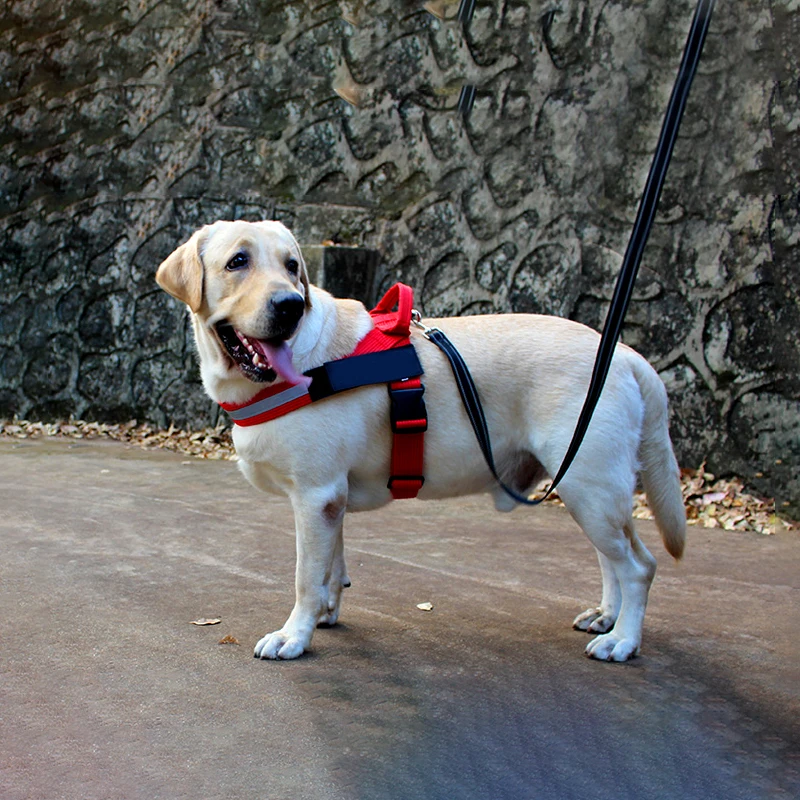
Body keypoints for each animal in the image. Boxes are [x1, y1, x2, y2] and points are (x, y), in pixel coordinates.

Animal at [158, 219, 688, 664]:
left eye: (292, 266)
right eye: (237, 261)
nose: (291, 305)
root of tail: (624, 354)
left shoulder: (316, 495)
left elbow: (307, 576)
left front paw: (295, 635)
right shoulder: (333, 498)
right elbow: (333, 565)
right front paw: (327, 612)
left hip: (589, 485)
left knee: (638, 566)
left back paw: (623, 640)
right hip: (589, 487)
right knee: (612, 556)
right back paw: (607, 615)